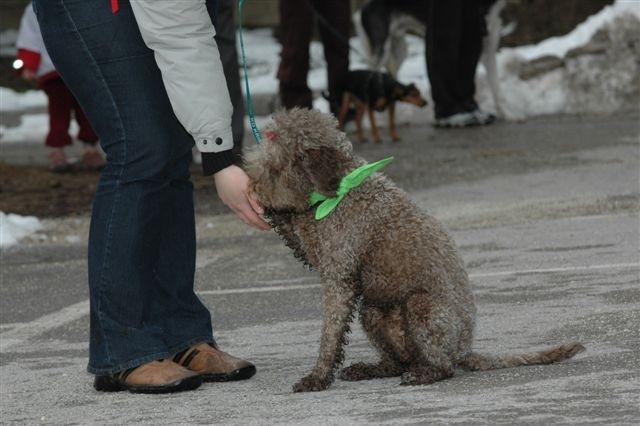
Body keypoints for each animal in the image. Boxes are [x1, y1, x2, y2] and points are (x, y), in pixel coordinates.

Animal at [244, 109, 584, 392]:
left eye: (275, 167)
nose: (251, 187)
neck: (339, 190)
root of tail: (465, 349)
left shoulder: (338, 278)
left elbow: (330, 336)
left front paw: (317, 377)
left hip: (421, 307)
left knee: (443, 367)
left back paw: (424, 374)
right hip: (373, 310)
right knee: (396, 363)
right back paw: (371, 369)